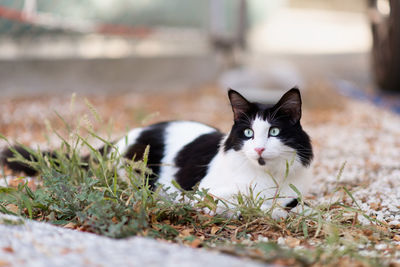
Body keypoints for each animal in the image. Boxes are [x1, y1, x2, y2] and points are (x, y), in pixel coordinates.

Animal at [2, 89, 312, 219]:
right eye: (248, 133)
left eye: (274, 131)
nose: (258, 148)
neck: (267, 177)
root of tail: (117, 141)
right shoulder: (203, 193)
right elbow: (244, 202)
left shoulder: (292, 192)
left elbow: (290, 203)